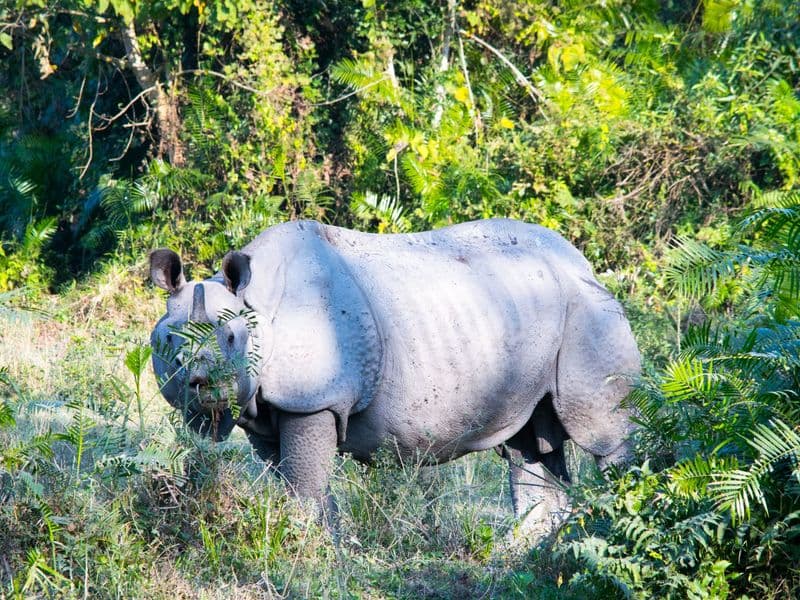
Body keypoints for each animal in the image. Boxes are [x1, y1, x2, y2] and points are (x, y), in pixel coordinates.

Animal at [149, 218, 640, 533]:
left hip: (588, 309)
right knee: (527, 443)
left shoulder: (314, 400)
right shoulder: (266, 414)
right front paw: (322, 544)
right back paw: (530, 547)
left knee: (605, 433)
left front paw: (312, 548)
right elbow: (292, 481)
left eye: (232, 338)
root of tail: (582, 261)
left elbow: (305, 484)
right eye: (168, 343)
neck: (257, 312)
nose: (202, 384)